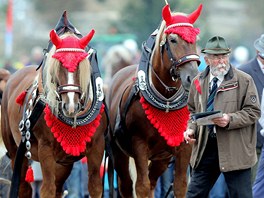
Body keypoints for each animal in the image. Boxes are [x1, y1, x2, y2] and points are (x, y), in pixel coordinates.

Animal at [0, 25, 107, 197]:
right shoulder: (46, 149)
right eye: (59, 66)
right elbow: (47, 189)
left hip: (63, 163)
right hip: (16, 150)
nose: (70, 105)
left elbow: (95, 187)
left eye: (80, 64)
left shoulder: (97, 146)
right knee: (23, 186)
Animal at [106, 3, 203, 198]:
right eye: (173, 40)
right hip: (119, 152)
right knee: (127, 185)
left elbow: (180, 186)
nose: (193, 78)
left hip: (161, 159)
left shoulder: (183, 147)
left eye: (194, 39)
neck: (166, 101)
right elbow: (141, 187)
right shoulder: (139, 146)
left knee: (151, 182)